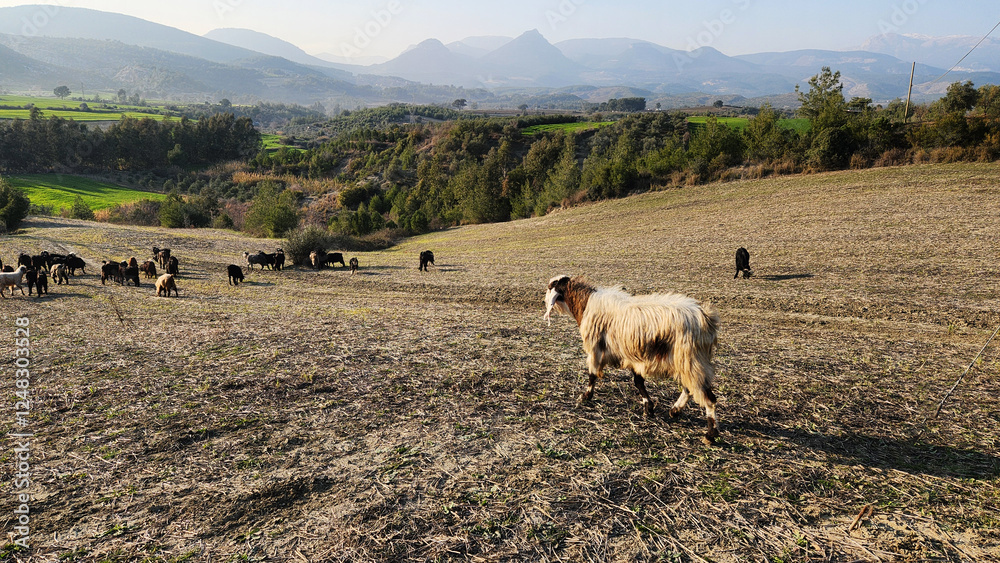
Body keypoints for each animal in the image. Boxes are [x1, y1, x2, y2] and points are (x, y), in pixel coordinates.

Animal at [544, 275, 721, 445]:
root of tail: (706, 318)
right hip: (687, 362)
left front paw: (585, 397)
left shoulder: (595, 349)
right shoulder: (633, 357)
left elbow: (592, 375)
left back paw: (710, 435)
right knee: (689, 388)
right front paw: (648, 407)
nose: (544, 302)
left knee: (708, 397)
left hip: (691, 360)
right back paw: (675, 410)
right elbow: (638, 382)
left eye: (551, 286)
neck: (586, 303)